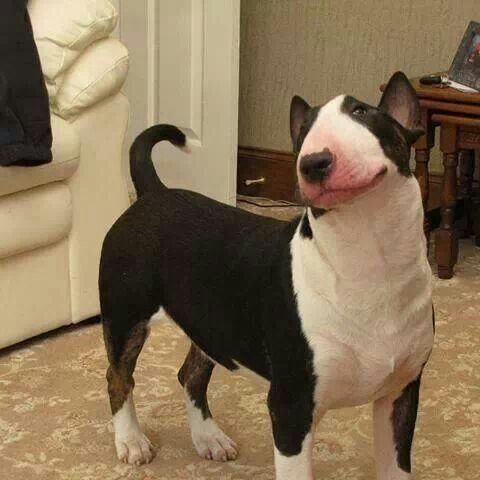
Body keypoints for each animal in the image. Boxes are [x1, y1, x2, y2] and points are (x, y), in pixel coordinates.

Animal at [99, 72, 434, 480]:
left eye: (362, 112)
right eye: (304, 131)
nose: (314, 162)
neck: (368, 263)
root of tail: (153, 193)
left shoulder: (400, 393)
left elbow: (395, 466)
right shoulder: (290, 406)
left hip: (211, 323)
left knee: (190, 374)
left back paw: (209, 439)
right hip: (125, 314)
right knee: (118, 377)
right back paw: (131, 441)